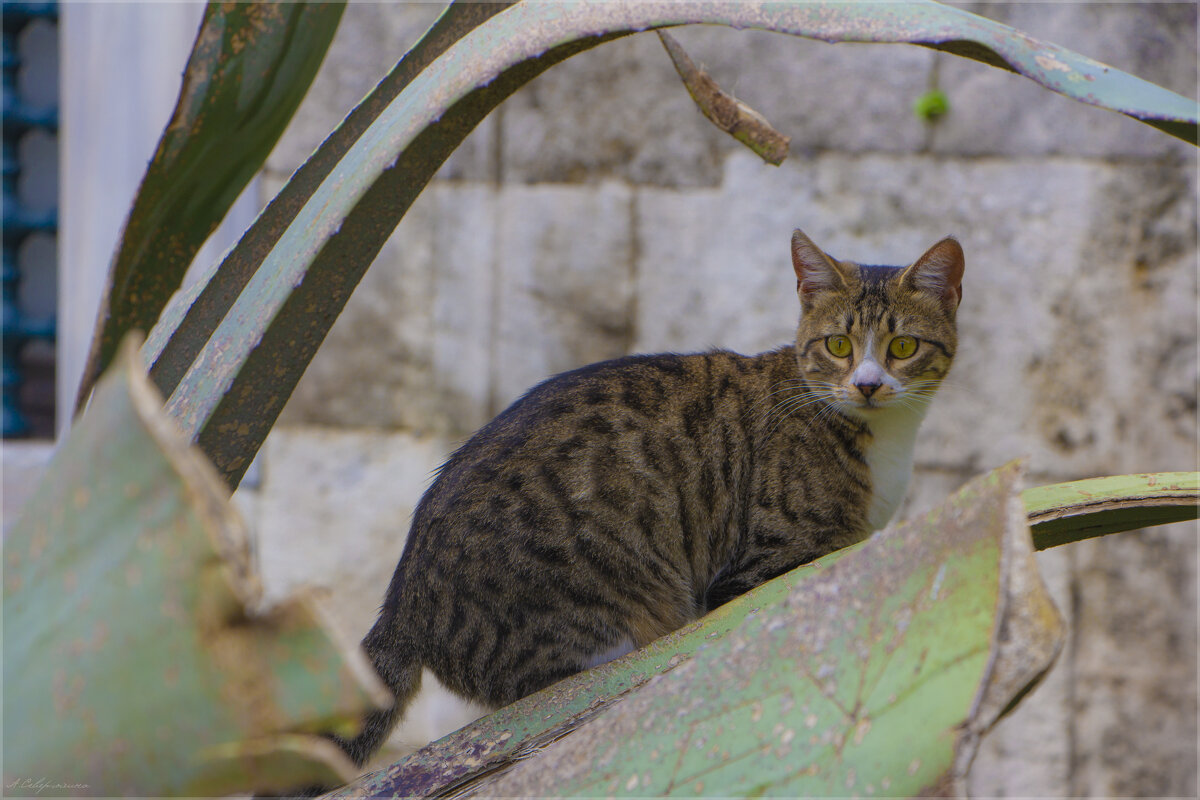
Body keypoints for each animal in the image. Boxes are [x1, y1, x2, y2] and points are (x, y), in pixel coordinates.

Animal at [338, 227, 964, 767]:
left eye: (902, 345)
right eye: (837, 344)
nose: (867, 384)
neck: (882, 440)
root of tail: (402, 597)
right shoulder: (759, 570)